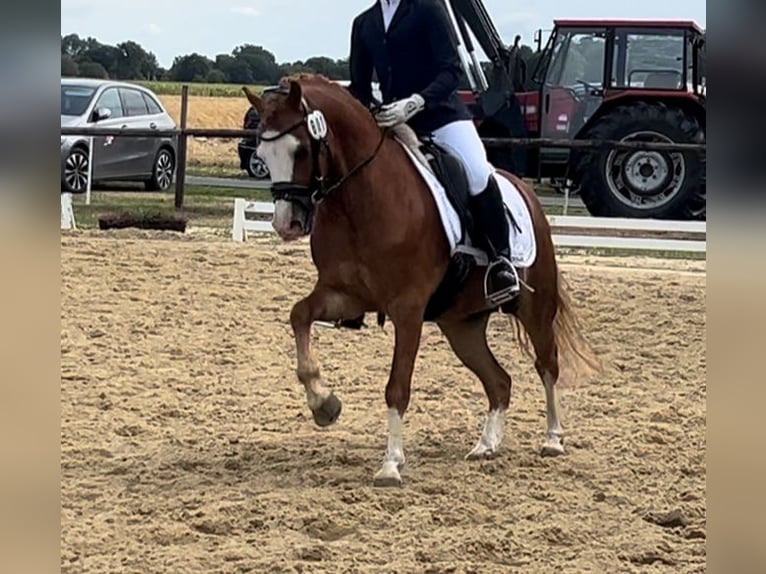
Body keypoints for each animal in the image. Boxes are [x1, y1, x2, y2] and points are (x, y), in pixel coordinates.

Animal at [242, 73, 600, 487]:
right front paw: (324, 404)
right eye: (263, 155)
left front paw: (390, 465)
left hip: (535, 307)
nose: (286, 224)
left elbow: (397, 386)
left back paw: (553, 439)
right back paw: (486, 445)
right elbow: (298, 315)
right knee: (499, 381)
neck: (359, 199)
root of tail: (524, 189)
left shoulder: (407, 309)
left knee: (547, 366)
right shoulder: (343, 295)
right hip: (461, 326)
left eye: (300, 151)